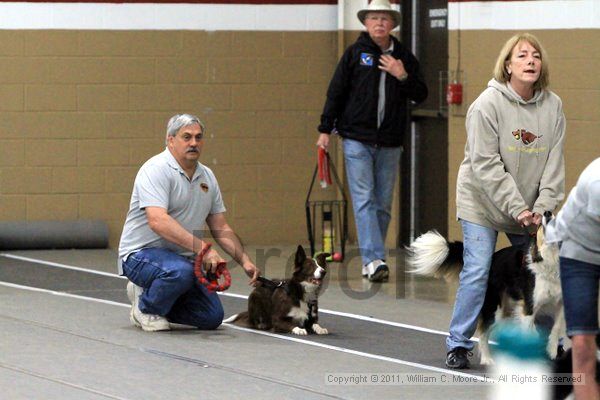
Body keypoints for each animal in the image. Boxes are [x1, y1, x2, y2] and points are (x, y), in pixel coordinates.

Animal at [406, 212, 564, 366]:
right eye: (540, 225)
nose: (547, 213)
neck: (551, 258)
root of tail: (492, 259)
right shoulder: (529, 307)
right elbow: (529, 332)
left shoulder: (561, 304)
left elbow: (556, 327)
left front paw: (552, 351)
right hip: (495, 307)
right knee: (483, 332)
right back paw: (486, 359)